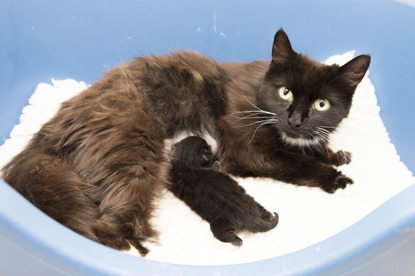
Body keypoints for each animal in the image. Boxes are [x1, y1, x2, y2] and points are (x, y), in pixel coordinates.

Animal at [0, 28, 370, 254]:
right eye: (285, 92)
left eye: (322, 104)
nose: (295, 120)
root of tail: (49, 132)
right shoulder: (248, 149)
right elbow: (297, 163)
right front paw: (333, 176)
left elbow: (312, 147)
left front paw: (335, 154)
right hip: (136, 153)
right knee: (107, 225)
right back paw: (135, 247)